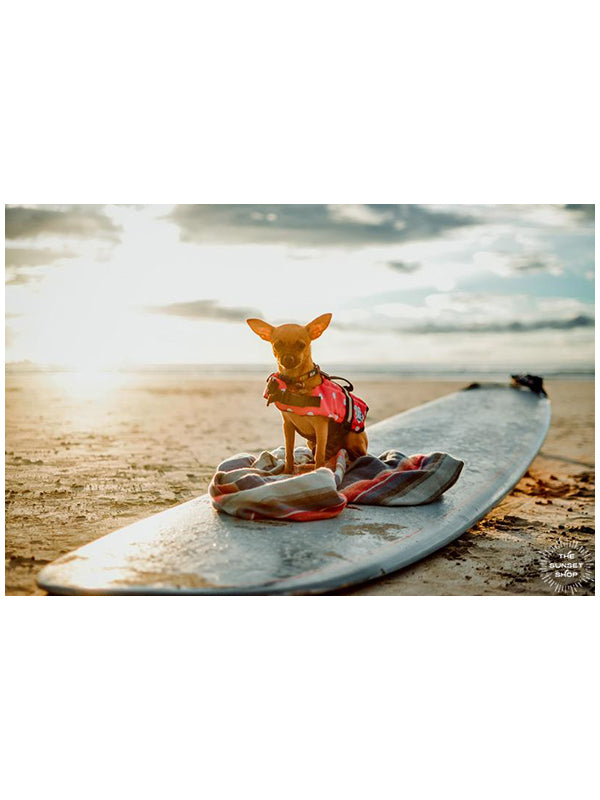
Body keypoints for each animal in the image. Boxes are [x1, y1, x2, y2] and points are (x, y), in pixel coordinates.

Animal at [246, 314, 368, 476]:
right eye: (277, 345)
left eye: (301, 345)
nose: (288, 358)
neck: (296, 382)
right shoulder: (287, 426)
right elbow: (289, 451)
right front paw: (287, 471)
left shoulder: (321, 428)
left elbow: (319, 455)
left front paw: (319, 471)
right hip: (311, 441)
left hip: (353, 438)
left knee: (357, 455)